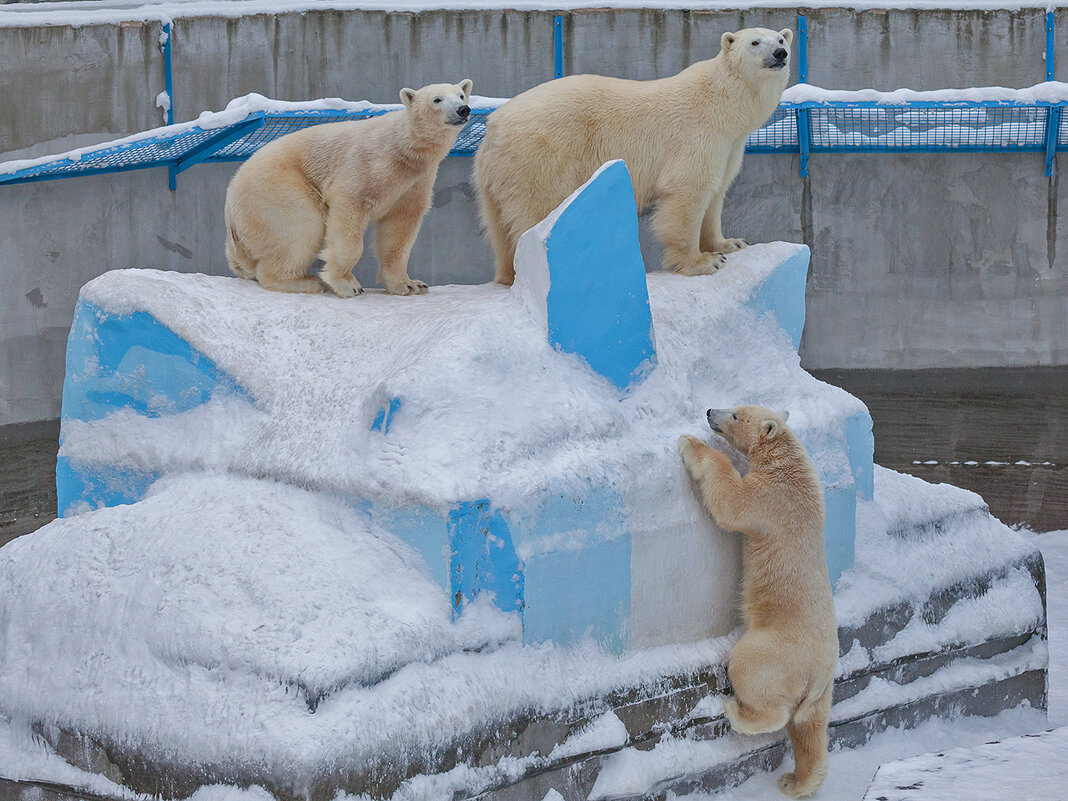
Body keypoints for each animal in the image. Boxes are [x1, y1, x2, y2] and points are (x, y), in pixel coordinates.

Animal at [225, 80, 472, 299]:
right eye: (437, 99)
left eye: (461, 95)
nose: (463, 110)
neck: (404, 149)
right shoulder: (367, 164)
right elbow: (350, 207)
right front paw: (347, 285)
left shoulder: (415, 182)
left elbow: (399, 227)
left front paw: (410, 285)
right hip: (275, 187)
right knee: (302, 225)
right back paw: (305, 281)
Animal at [476, 28, 794, 286]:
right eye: (755, 42)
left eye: (780, 39)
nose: (781, 53)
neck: (723, 102)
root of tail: (495, 125)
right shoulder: (697, 135)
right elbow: (688, 191)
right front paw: (703, 262)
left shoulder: (729, 145)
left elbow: (716, 194)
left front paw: (730, 243)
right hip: (541, 156)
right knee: (540, 210)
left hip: (495, 177)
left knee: (499, 228)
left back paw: (507, 275)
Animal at [679, 410, 837, 798]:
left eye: (736, 414)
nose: (710, 412)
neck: (788, 461)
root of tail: (817, 673)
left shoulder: (772, 497)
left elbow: (733, 504)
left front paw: (690, 443)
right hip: (822, 691)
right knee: (810, 728)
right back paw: (795, 781)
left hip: (777, 652)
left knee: (753, 674)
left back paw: (736, 711)